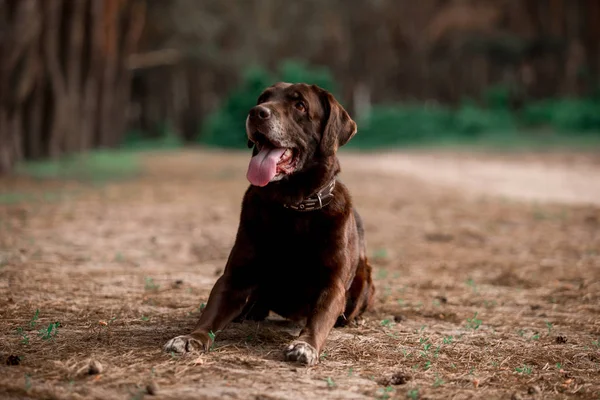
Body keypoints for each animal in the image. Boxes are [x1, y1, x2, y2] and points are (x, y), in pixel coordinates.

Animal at [164, 83, 376, 364]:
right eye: (264, 98)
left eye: (300, 105)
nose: (256, 112)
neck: (293, 206)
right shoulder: (235, 277)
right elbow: (210, 314)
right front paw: (191, 338)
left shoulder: (332, 284)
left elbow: (320, 319)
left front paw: (305, 345)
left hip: (364, 275)